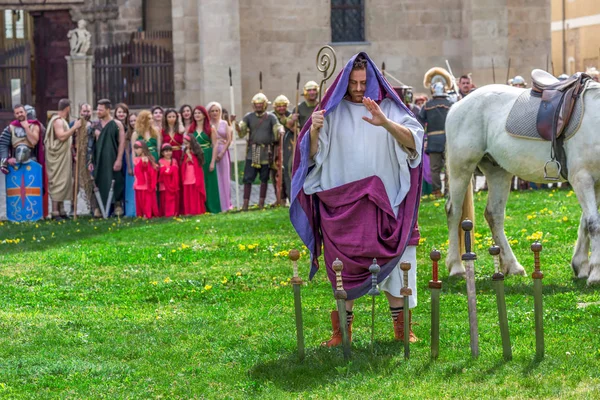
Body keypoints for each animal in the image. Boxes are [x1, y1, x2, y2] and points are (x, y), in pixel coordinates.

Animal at [442, 77, 600, 284]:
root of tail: (458, 104)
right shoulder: (582, 178)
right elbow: (593, 224)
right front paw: (595, 273)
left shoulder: (594, 183)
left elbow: (584, 222)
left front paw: (580, 266)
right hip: (461, 168)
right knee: (454, 212)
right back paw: (456, 267)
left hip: (498, 172)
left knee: (494, 214)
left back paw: (512, 266)